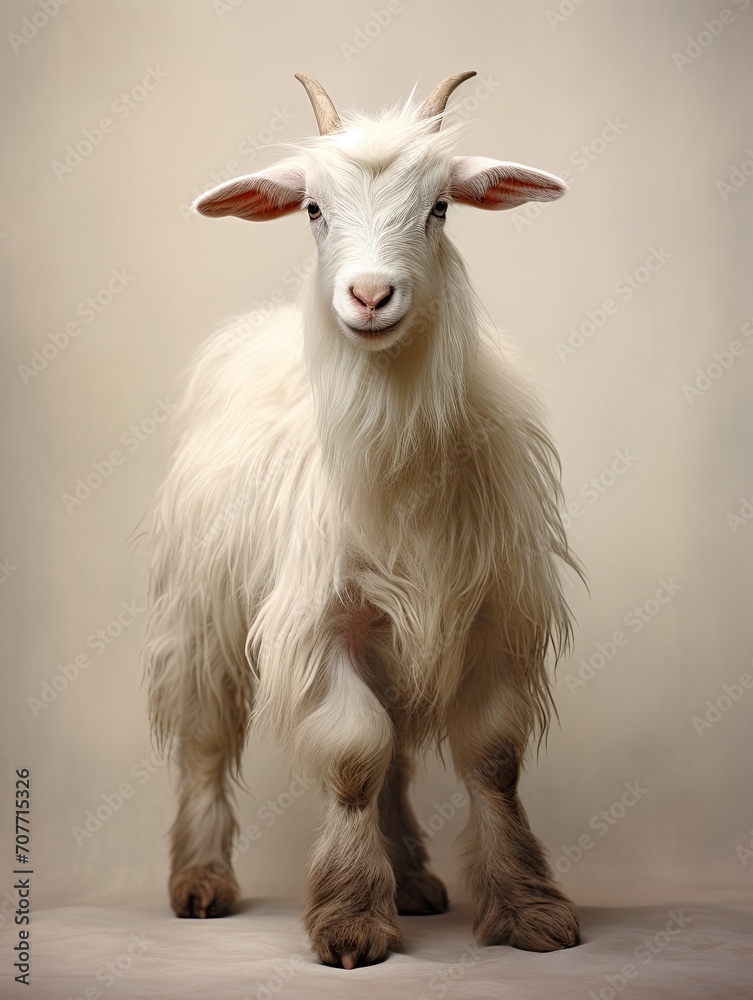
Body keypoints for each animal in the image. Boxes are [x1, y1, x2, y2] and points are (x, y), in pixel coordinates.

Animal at [145, 71, 581, 969]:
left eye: (440, 207)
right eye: (312, 208)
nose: (370, 295)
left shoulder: (490, 614)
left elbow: (491, 759)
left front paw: (529, 909)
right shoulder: (321, 615)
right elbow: (351, 756)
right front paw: (349, 920)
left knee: (398, 758)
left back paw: (409, 878)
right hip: (204, 608)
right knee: (207, 740)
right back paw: (200, 881)